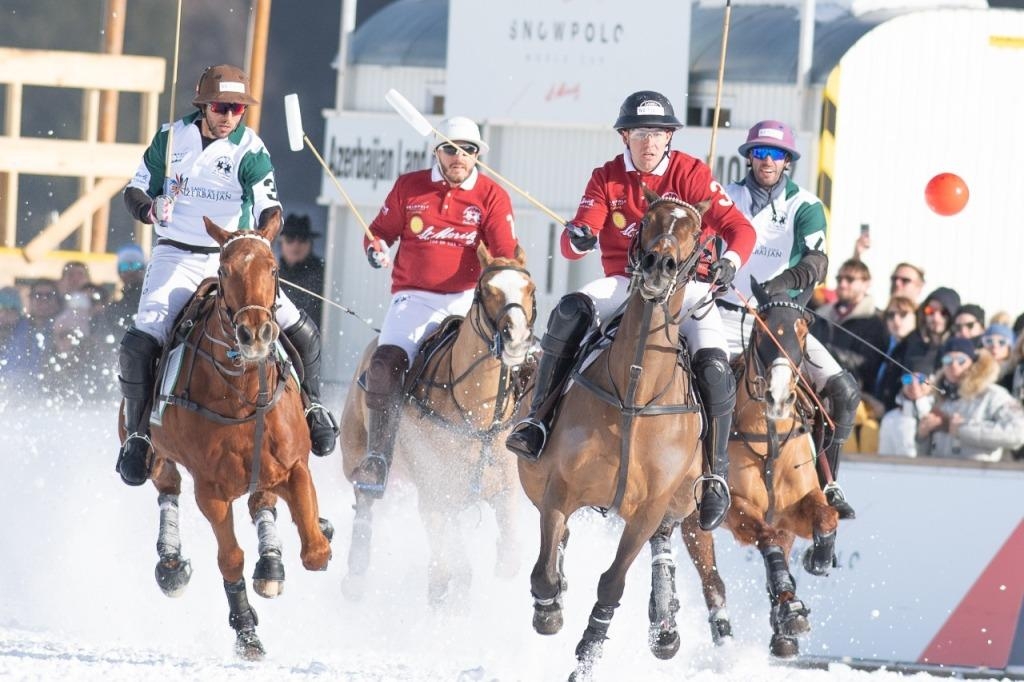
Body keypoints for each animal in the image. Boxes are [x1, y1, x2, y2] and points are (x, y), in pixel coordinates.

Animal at [119, 215, 329, 655]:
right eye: (225, 270)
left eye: (274, 268)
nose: (255, 334)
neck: (242, 396)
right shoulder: (210, 491)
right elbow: (230, 557)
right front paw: (247, 631)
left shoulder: (293, 466)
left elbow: (316, 549)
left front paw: (307, 536)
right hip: (156, 453)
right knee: (167, 487)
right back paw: (171, 564)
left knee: (261, 503)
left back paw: (272, 562)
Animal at [342, 242, 540, 602]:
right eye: (485, 290)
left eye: (530, 289)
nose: (517, 338)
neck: (477, 415)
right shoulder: (436, 490)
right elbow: (455, 565)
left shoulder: (503, 489)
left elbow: (508, 558)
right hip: (356, 452)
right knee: (364, 499)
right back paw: (355, 578)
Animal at [520, 191, 712, 679]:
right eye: (647, 220)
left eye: (696, 230)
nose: (659, 263)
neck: (635, 393)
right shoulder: (561, 487)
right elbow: (544, 570)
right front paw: (549, 610)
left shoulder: (648, 508)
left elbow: (612, 583)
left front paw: (587, 656)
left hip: (684, 498)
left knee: (663, 543)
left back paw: (665, 625)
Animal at [667, 280, 843, 655]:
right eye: (763, 331)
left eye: (802, 332)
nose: (778, 396)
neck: (768, 437)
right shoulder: (735, 508)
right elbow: (765, 536)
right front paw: (789, 606)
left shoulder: (793, 509)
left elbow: (825, 516)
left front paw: (818, 559)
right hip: (692, 522)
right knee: (711, 580)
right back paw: (720, 636)